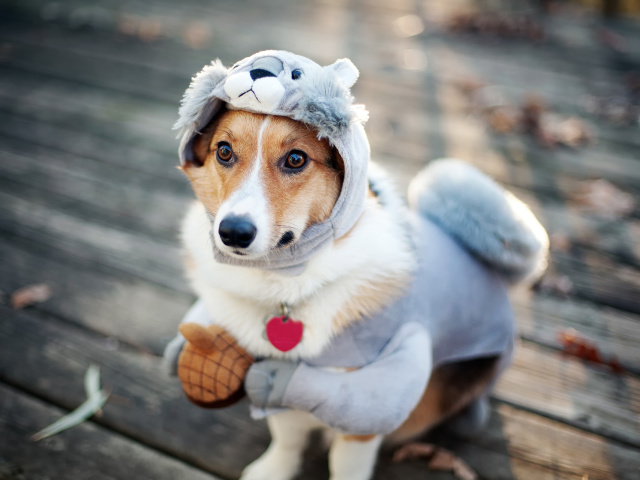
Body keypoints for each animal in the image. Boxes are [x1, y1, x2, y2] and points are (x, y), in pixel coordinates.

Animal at [162, 50, 548, 478]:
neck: (285, 284)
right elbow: (287, 435)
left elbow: (345, 453)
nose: (232, 232)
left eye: (296, 158)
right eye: (224, 151)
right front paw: (272, 469)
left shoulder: (365, 404)